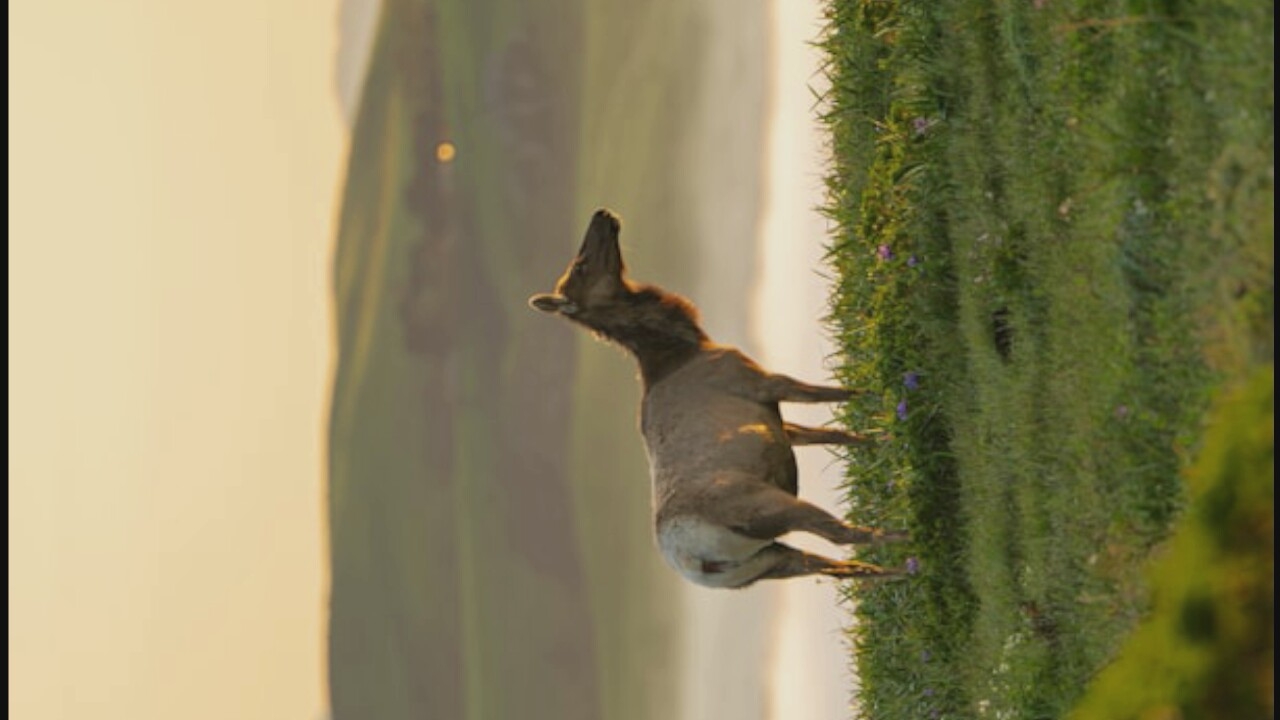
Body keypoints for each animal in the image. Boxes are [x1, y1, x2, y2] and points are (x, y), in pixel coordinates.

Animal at [529, 209, 910, 589]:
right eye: (580, 267)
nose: (603, 214)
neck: (685, 347)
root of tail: (696, 561)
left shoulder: (775, 416)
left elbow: (835, 433)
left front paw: (879, 436)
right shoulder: (759, 381)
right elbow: (832, 395)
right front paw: (882, 405)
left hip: (765, 563)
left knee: (842, 567)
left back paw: (899, 571)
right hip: (771, 508)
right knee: (843, 536)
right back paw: (906, 539)